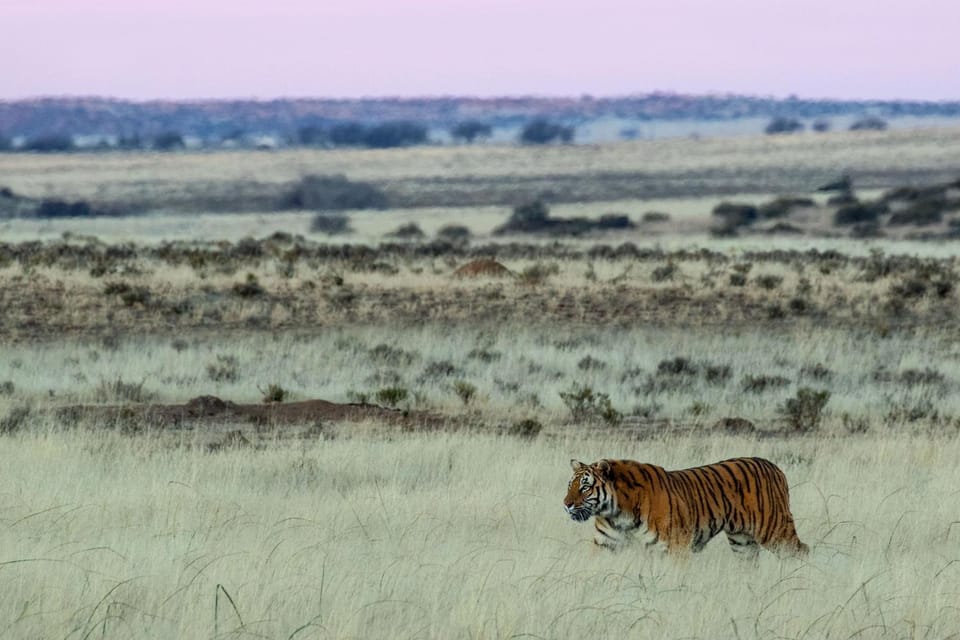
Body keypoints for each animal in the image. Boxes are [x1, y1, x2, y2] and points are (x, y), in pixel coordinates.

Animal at [564, 457, 808, 559]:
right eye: (570, 485)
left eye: (585, 487)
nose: (566, 505)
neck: (617, 513)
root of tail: (774, 466)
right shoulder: (606, 544)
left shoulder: (676, 546)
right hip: (742, 541)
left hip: (774, 530)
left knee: (802, 550)